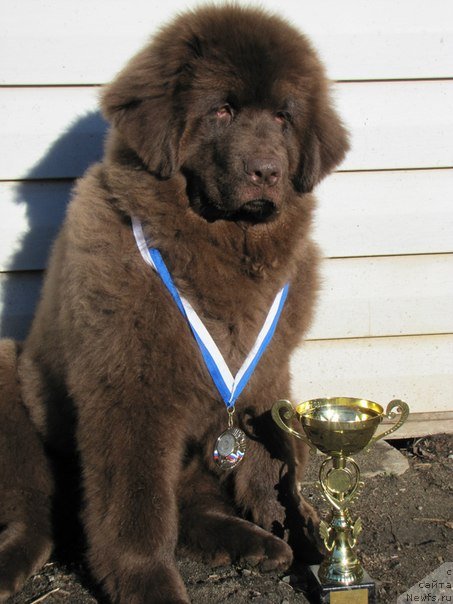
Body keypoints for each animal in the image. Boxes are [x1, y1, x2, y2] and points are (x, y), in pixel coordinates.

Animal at [0, 5, 346, 604]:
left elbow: (271, 460)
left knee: (190, 503)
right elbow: (136, 505)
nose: (267, 171)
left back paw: (253, 543)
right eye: (222, 110)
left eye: (284, 118)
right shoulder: (130, 392)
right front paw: (148, 583)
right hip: (9, 378)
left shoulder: (267, 375)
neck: (219, 249)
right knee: (35, 513)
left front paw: (297, 525)